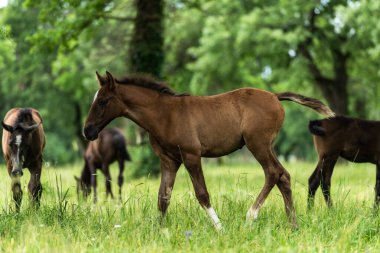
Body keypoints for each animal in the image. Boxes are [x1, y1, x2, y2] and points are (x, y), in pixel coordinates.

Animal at [82, 70, 332, 229]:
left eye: (103, 101)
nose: (88, 131)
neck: (164, 114)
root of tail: (274, 96)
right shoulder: (169, 160)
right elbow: (163, 197)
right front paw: (159, 232)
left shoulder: (191, 155)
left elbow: (202, 194)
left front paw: (220, 229)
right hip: (266, 145)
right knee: (284, 176)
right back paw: (293, 225)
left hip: (257, 144)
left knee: (273, 172)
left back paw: (250, 217)